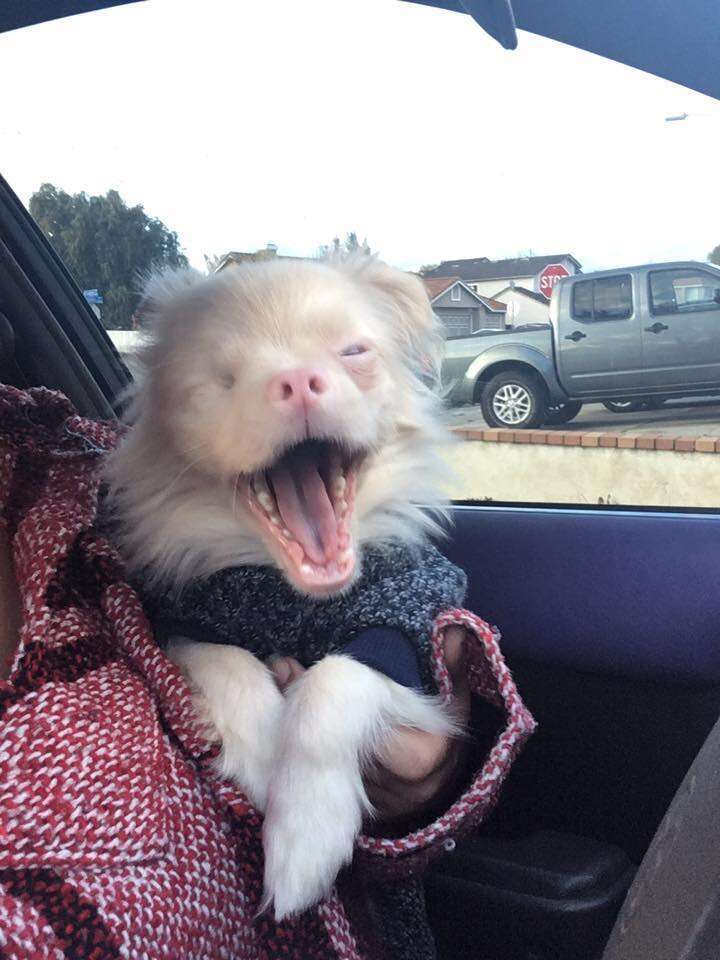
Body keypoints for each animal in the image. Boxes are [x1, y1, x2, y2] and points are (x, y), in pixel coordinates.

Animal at [104, 253, 464, 916]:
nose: (297, 379)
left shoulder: (406, 620)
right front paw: (264, 760)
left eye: (353, 352)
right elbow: (230, 665)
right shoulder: (182, 622)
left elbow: (333, 685)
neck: (295, 596)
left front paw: (305, 830)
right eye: (222, 380)